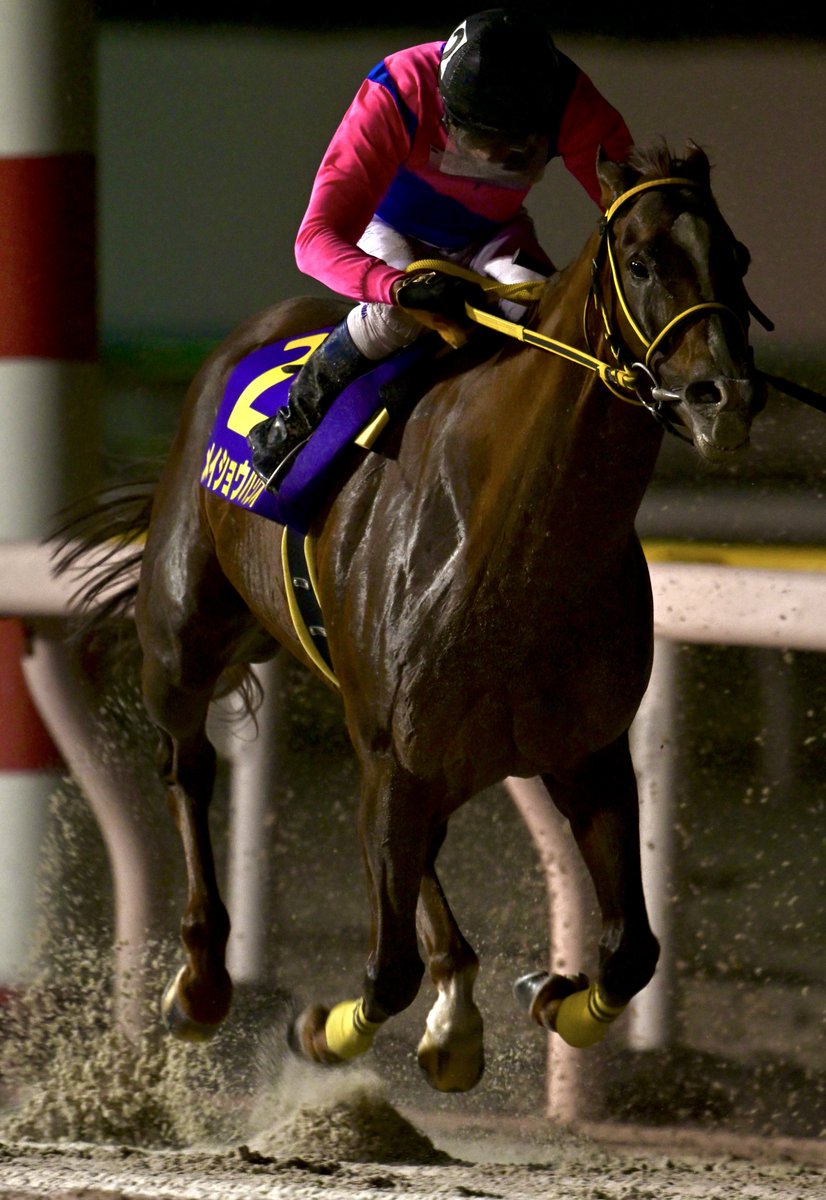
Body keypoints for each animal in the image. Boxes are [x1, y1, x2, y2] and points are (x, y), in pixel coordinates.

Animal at [58, 141, 768, 1093]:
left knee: (416, 849)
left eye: (738, 256)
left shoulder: (582, 751)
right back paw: (204, 981)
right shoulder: (393, 749)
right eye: (646, 260)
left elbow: (631, 953)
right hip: (184, 641)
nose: (723, 397)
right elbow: (385, 971)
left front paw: (549, 992)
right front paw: (321, 1032)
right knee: (189, 766)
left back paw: (456, 1008)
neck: (513, 538)